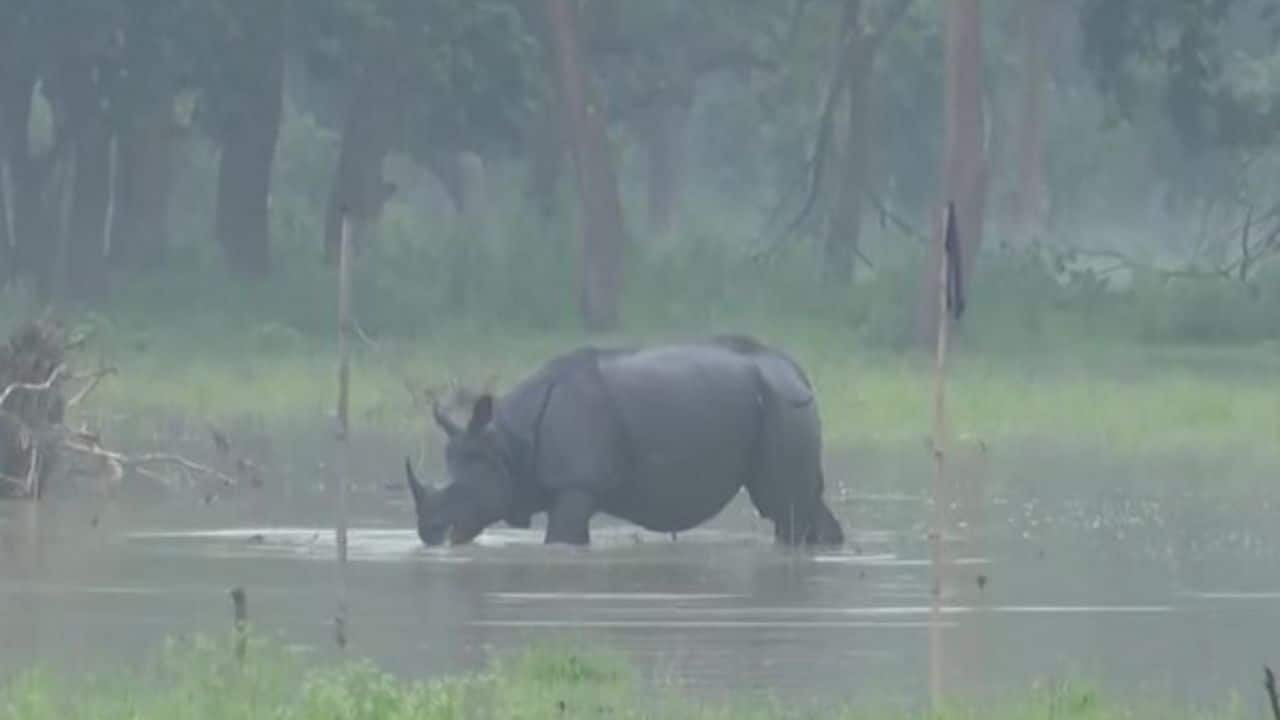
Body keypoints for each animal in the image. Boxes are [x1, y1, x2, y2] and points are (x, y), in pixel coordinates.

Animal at [405, 335, 845, 547]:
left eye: (465, 488)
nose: (429, 531)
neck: (508, 442)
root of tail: (797, 372)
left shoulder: (577, 484)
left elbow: (560, 537)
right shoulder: (573, 488)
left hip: (781, 404)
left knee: (783, 505)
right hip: (780, 403)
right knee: (803, 501)